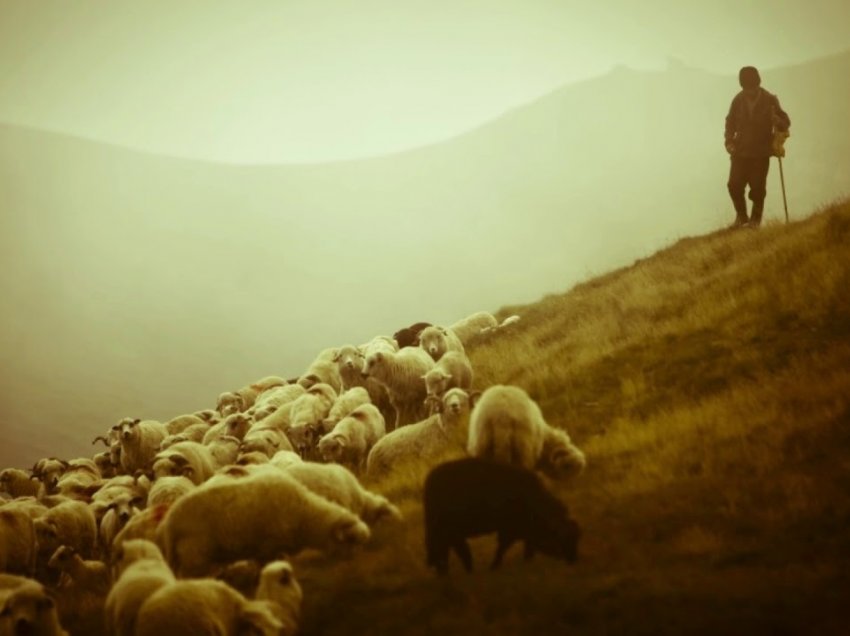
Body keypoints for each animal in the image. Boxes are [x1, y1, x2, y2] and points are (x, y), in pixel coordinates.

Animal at [157, 470, 370, 580]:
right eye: (350, 540)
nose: (356, 566)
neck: (304, 515)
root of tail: (170, 522)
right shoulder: (268, 546)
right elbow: (266, 565)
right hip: (195, 555)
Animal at [420, 454, 580, 572]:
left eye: (576, 538)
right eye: (563, 539)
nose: (573, 560)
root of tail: (430, 481)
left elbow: (526, 546)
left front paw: (527, 561)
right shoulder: (508, 529)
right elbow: (501, 549)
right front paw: (494, 566)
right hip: (446, 533)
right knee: (446, 551)